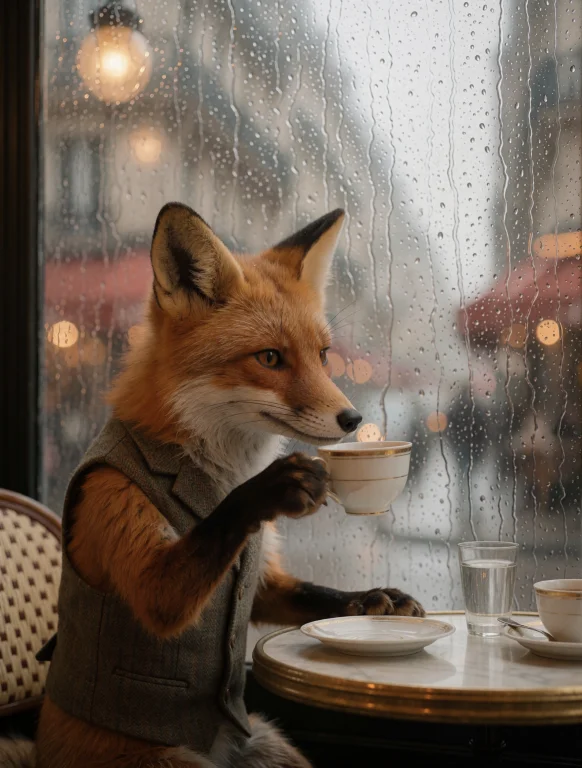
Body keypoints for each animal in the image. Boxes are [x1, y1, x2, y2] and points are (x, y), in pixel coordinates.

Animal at [1, 203, 423, 768]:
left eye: (324, 355)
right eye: (270, 358)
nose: (353, 420)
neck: (215, 465)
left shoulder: (260, 582)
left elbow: (312, 593)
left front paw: (374, 599)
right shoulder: (123, 515)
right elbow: (207, 539)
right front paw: (277, 485)